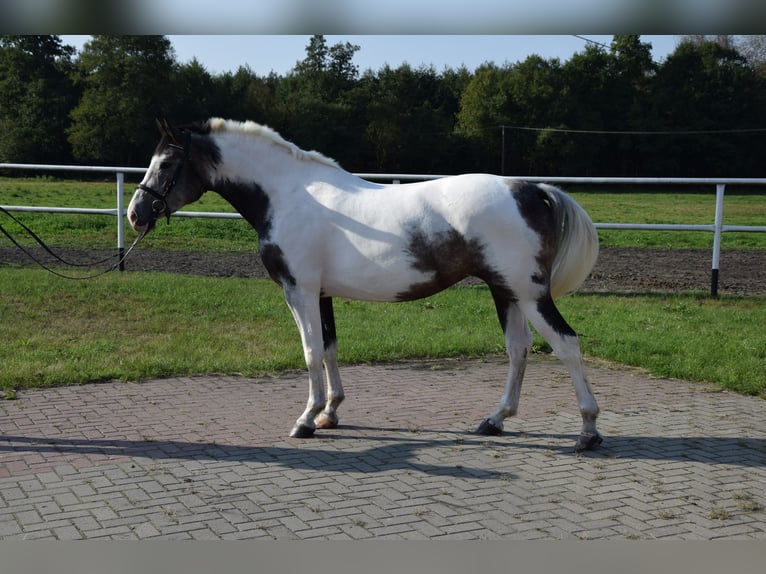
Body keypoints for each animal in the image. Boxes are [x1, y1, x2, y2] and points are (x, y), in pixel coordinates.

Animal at [127, 119, 608, 454]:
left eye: (166, 163)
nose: (136, 213)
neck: (289, 195)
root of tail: (532, 189)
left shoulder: (299, 290)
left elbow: (310, 351)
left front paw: (305, 420)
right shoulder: (321, 293)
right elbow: (330, 348)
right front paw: (330, 413)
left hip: (528, 294)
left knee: (567, 344)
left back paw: (587, 432)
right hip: (505, 292)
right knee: (518, 349)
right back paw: (496, 420)